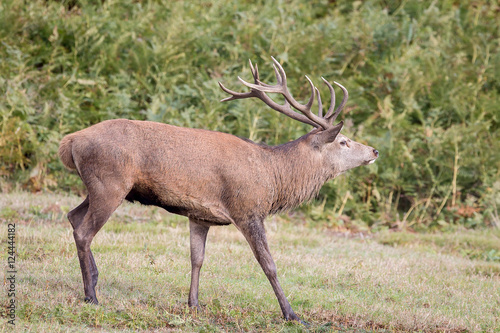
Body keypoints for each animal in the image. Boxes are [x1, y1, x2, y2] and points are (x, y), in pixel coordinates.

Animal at [58, 57, 376, 322]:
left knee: (73, 216)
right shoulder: (247, 209)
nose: (373, 150)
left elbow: (197, 259)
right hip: (110, 183)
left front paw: (194, 304)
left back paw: (94, 279)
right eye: (344, 141)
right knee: (84, 231)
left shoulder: (200, 215)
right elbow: (269, 264)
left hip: (100, 187)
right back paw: (92, 296)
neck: (274, 177)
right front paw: (292, 314)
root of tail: (70, 141)